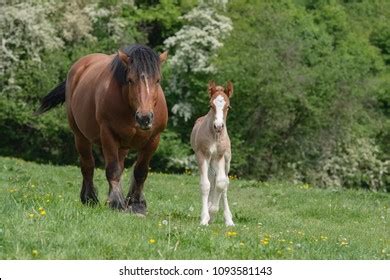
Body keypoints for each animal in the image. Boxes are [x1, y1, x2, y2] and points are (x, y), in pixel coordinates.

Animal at [37, 43, 169, 215]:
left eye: (158, 80)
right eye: (130, 80)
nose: (144, 117)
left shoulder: (154, 139)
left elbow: (140, 171)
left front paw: (136, 204)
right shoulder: (108, 135)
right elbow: (112, 169)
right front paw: (116, 202)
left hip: (123, 146)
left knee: (119, 165)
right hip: (80, 137)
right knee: (88, 165)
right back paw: (90, 198)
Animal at [190, 80, 233, 225]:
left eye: (228, 106)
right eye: (210, 105)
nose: (218, 126)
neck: (214, 136)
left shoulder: (219, 156)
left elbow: (221, 183)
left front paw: (212, 211)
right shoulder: (202, 155)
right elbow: (205, 185)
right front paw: (205, 217)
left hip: (226, 161)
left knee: (224, 183)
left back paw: (228, 219)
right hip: (209, 161)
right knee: (210, 179)